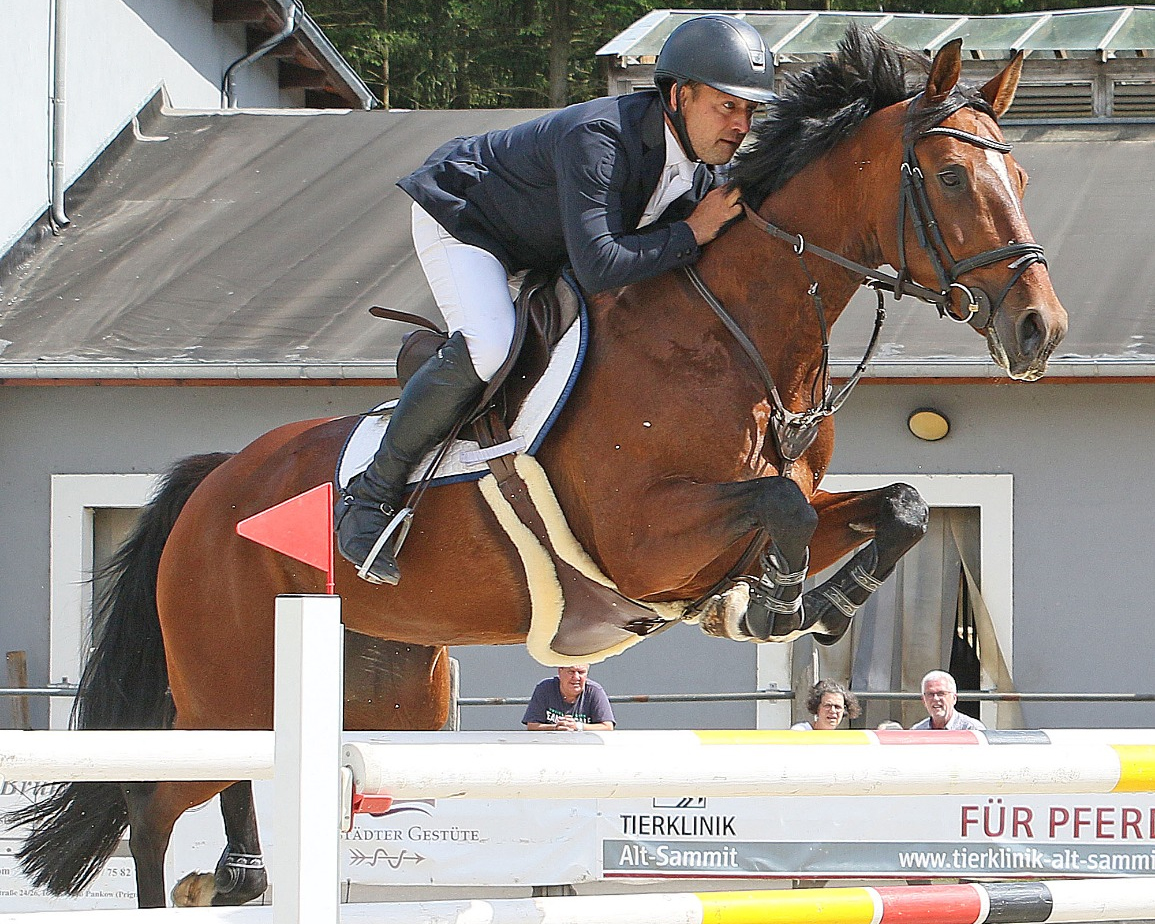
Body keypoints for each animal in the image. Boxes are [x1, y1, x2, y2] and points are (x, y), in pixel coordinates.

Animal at [9, 27, 1066, 908]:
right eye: (951, 176)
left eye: (1016, 171)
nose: (1038, 330)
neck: (736, 333)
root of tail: (214, 482)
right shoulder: (644, 538)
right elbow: (782, 511)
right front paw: (771, 604)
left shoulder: (792, 498)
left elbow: (900, 503)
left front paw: (825, 601)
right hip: (227, 686)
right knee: (153, 801)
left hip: (390, 695)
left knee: (251, 781)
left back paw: (240, 872)